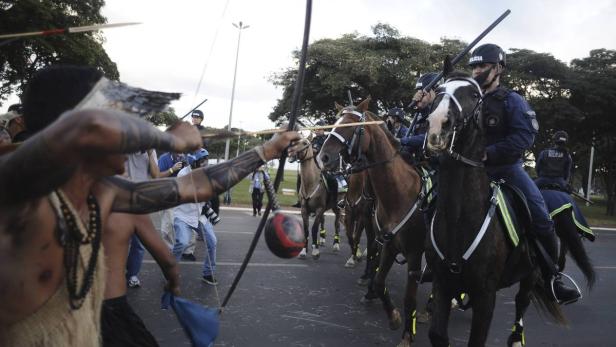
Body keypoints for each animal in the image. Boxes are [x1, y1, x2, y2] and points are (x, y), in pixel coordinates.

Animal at [318, 99, 428, 346]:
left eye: (352, 125)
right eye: (336, 121)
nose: (323, 158)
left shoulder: (414, 252)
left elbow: (409, 296)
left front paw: (407, 334)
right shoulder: (378, 234)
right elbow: (373, 265)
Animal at [422, 61, 588, 346]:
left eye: (474, 95)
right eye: (440, 90)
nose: (437, 126)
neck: (459, 220)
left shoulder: (486, 295)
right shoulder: (442, 284)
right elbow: (437, 334)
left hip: (531, 274)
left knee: (522, 303)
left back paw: (519, 334)